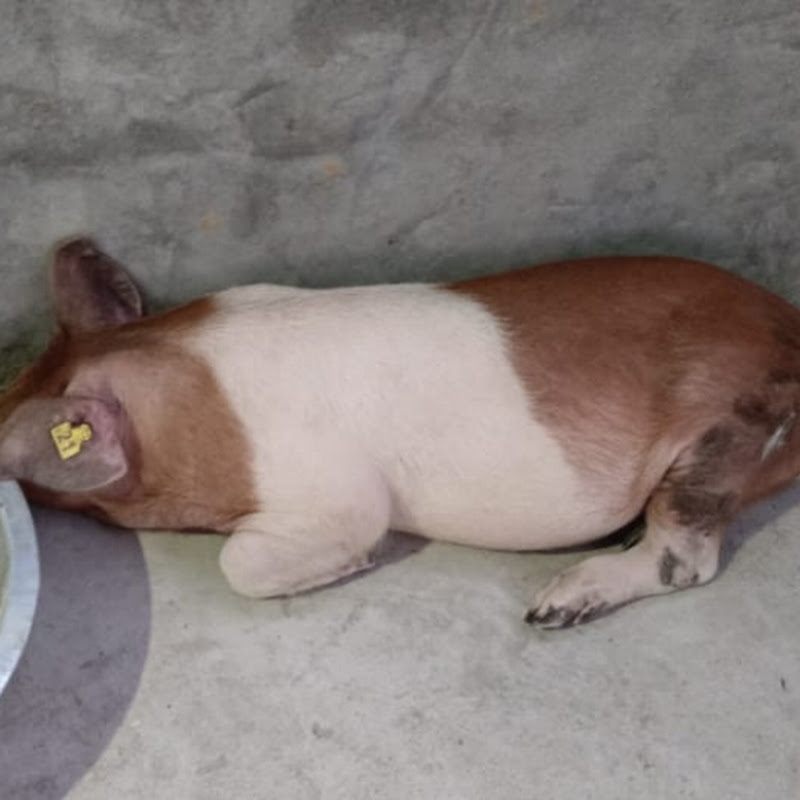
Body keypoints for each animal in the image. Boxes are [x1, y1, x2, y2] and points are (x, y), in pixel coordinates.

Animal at [2, 237, 800, 628]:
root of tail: (788, 319)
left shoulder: (330, 493)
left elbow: (243, 565)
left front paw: (351, 567)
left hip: (732, 425)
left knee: (685, 561)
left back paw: (553, 608)